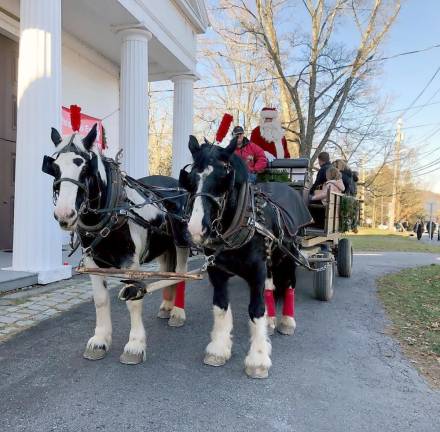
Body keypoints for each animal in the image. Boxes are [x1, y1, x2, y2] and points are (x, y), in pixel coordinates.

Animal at [41, 125, 191, 364]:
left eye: (85, 167)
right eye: (54, 167)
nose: (64, 214)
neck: (111, 212)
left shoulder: (131, 264)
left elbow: (133, 299)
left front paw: (135, 345)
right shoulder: (93, 263)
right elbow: (101, 300)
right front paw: (100, 340)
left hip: (181, 243)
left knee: (181, 274)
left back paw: (177, 312)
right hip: (162, 248)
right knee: (168, 273)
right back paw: (167, 306)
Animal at [179, 136, 312, 378]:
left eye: (223, 178)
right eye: (191, 178)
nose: (195, 229)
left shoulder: (257, 270)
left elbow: (256, 309)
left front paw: (258, 358)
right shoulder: (217, 271)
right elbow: (220, 306)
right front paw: (219, 349)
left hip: (289, 255)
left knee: (290, 284)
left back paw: (287, 320)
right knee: (271, 285)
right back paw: (271, 321)